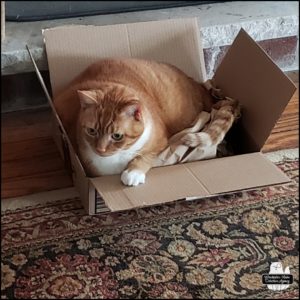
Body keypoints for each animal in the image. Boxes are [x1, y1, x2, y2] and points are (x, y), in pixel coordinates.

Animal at [52, 58, 238, 185]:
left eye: (117, 136)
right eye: (91, 131)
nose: (100, 149)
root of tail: (199, 85)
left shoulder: (161, 141)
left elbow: (147, 155)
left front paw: (133, 173)